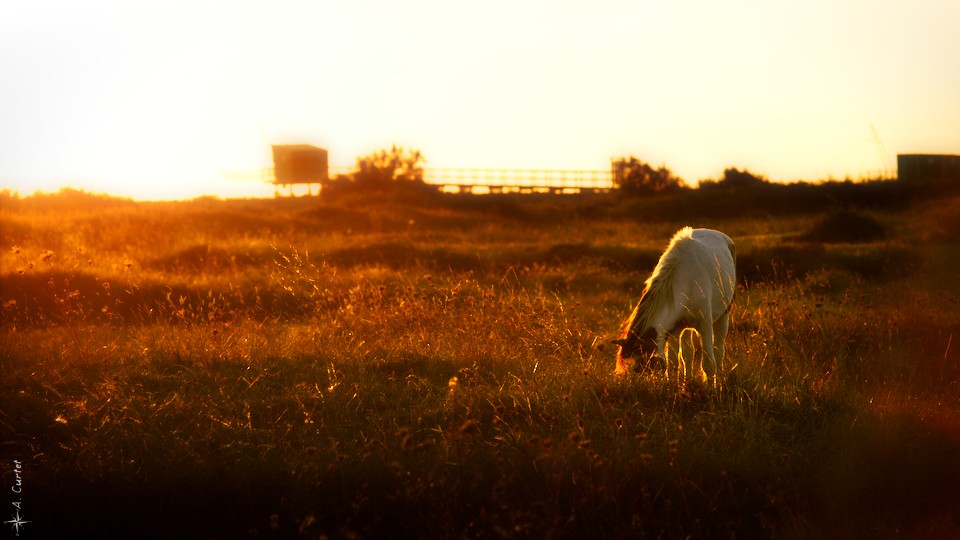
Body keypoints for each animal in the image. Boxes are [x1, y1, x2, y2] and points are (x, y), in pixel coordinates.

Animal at [612, 226, 740, 386]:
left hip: (723, 316)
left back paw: (720, 382)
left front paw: (712, 389)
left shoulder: (705, 325)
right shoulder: (674, 329)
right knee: (688, 353)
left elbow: (708, 364)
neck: (686, 281)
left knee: (719, 351)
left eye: (641, 367)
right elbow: (674, 362)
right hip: (685, 327)